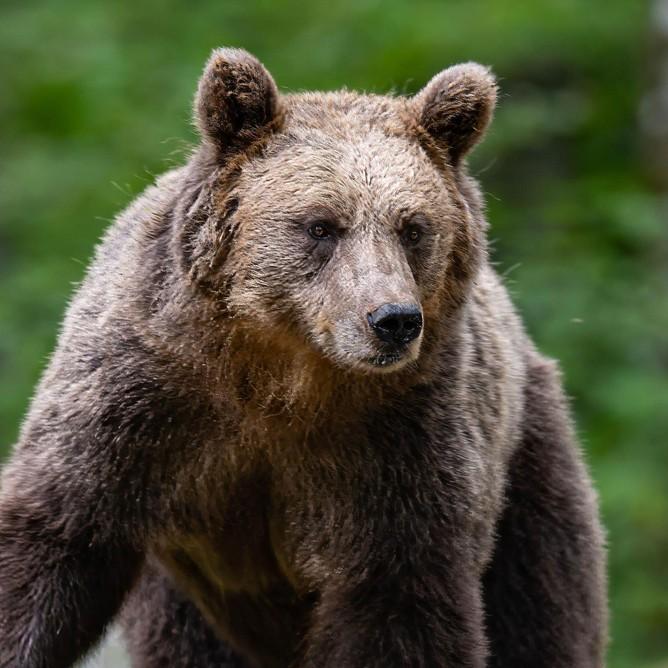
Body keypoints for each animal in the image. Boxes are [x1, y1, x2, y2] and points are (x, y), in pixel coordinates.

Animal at [0, 48, 607, 668]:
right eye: (321, 225)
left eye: (413, 228)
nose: (393, 320)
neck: (280, 374)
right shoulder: (141, 402)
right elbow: (55, 538)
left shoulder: (399, 445)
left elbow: (399, 599)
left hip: (529, 470)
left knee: (540, 608)